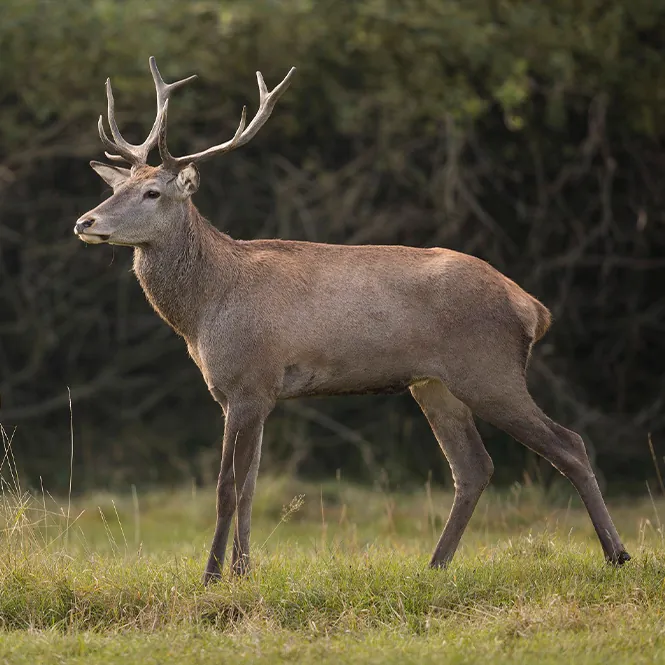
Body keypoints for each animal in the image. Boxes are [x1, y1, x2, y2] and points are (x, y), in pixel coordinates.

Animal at [74, 57, 630, 585]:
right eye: (119, 187)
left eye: (153, 193)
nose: (85, 221)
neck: (205, 312)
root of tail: (533, 308)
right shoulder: (250, 393)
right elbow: (251, 485)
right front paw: (243, 571)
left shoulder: (249, 381)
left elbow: (227, 487)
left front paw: (211, 576)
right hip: (434, 384)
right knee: (474, 466)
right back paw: (436, 564)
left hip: (489, 370)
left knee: (568, 444)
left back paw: (617, 554)